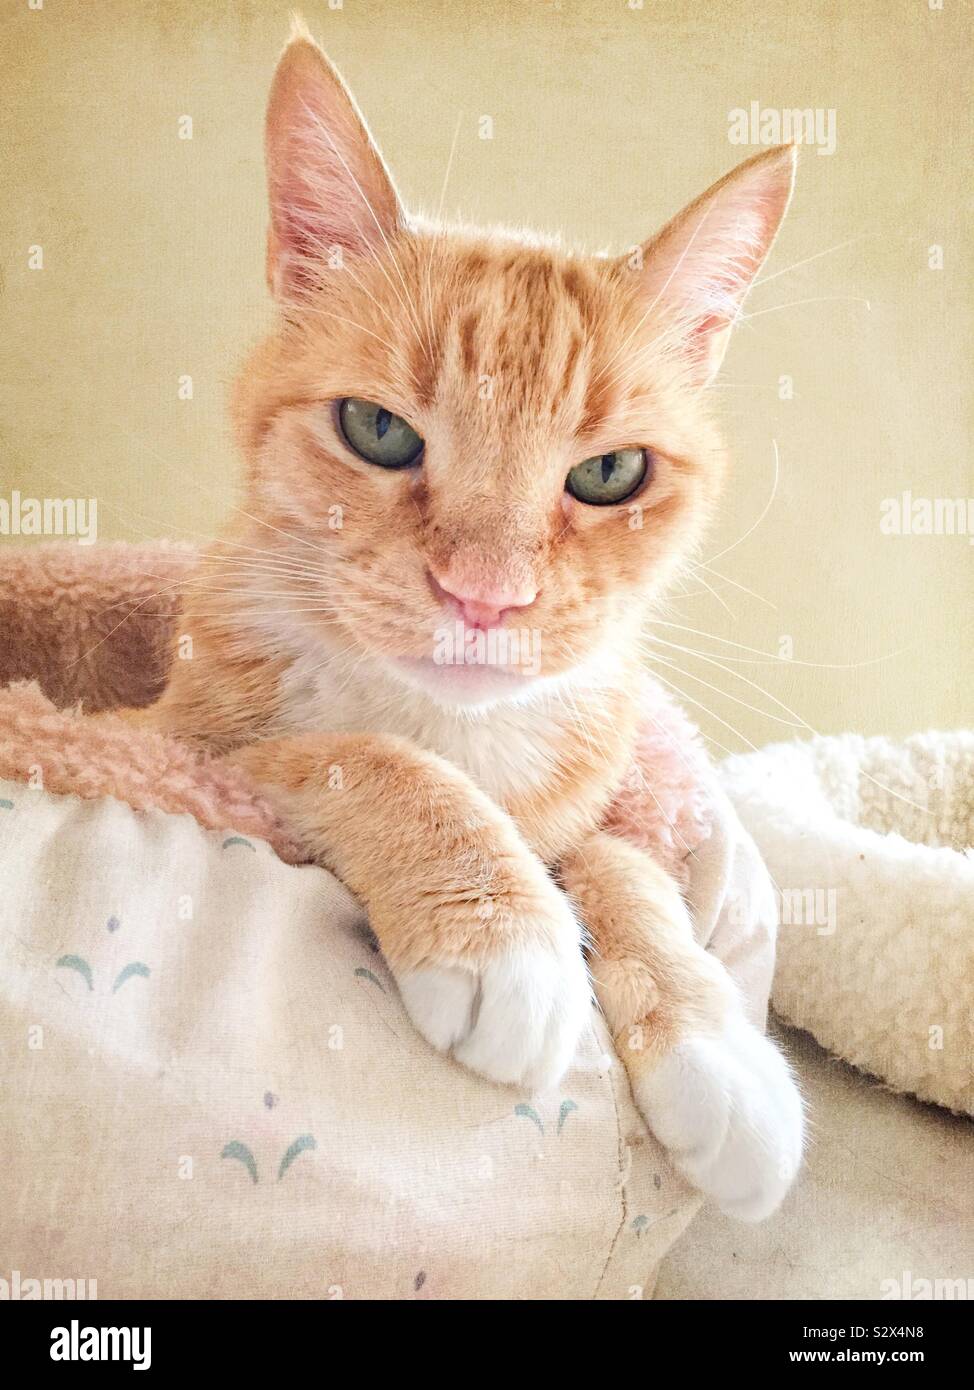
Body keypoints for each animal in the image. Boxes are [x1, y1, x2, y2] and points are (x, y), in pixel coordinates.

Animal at [140, 19, 800, 1217]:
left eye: (610, 473)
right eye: (376, 430)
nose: (484, 596)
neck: (464, 734)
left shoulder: (601, 809)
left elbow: (622, 866)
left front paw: (714, 1039)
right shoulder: (187, 749)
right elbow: (353, 753)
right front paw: (502, 927)